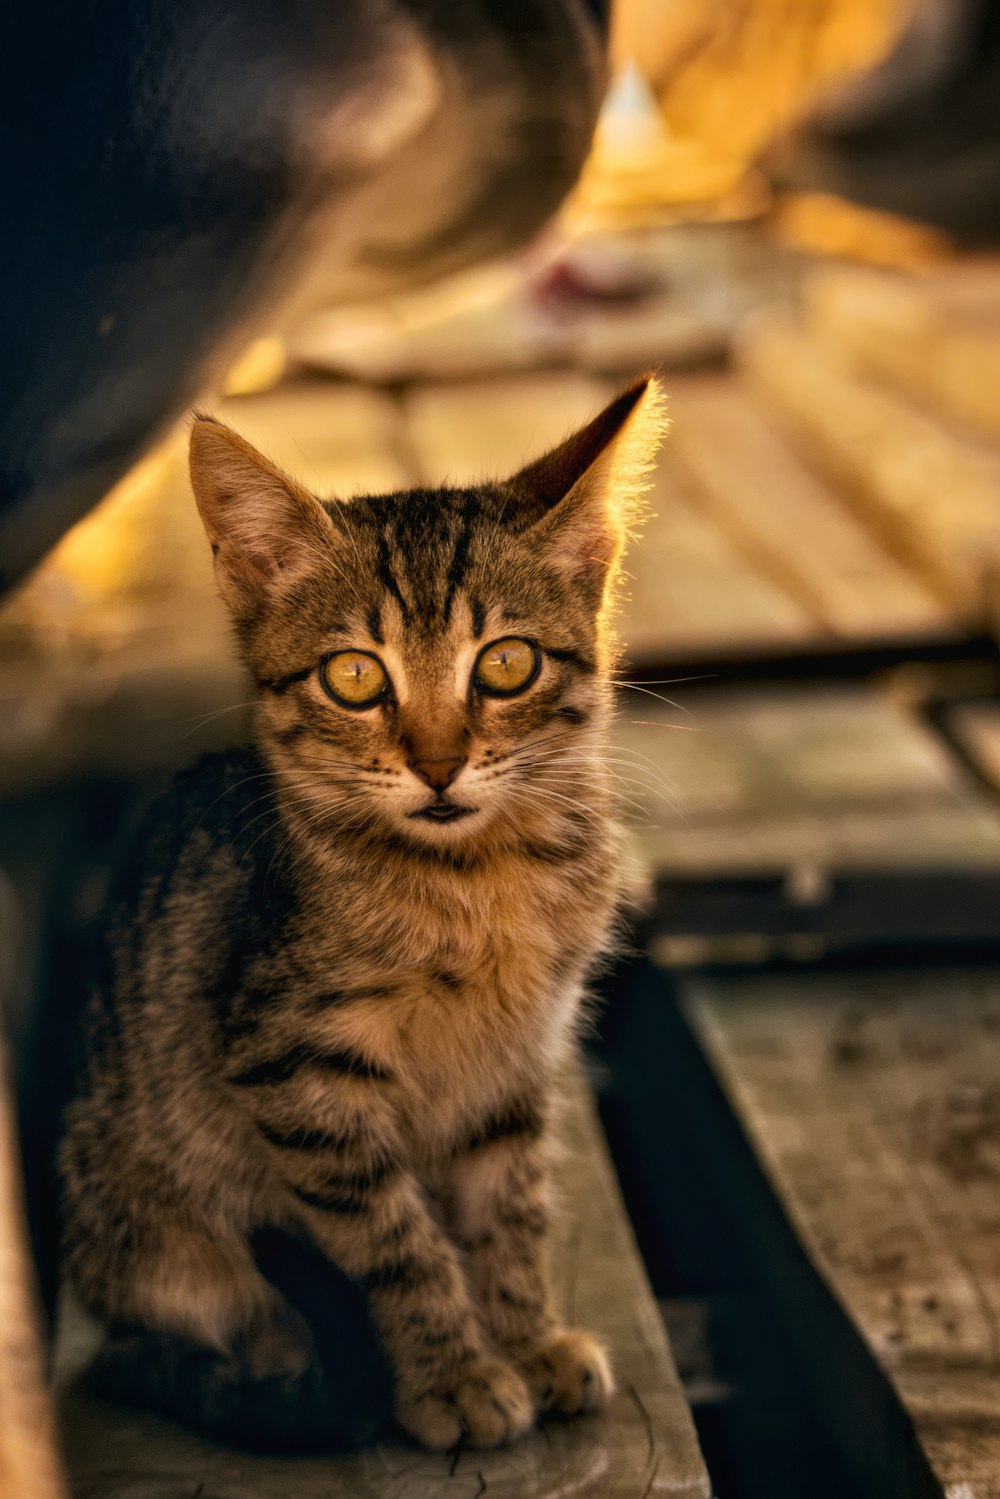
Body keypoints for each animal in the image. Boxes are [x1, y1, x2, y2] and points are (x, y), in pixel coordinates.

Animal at [56, 374, 665, 1451]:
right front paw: (455, 1372)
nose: (438, 762)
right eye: (353, 677)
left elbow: (509, 1206)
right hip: (146, 1220)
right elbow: (396, 1239)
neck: (478, 880)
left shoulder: (519, 1056)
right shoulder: (296, 1064)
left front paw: (528, 1335)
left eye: (505, 664)